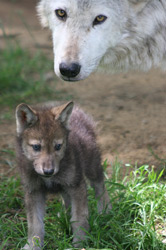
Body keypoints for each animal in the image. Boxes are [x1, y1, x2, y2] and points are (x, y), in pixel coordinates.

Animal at [15, 101, 110, 248]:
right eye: (36, 147)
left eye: (58, 146)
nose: (49, 171)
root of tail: (77, 111)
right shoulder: (33, 191)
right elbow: (35, 224)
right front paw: (32, 245)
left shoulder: (76, 185)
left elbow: (78, 219)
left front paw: (79, 244)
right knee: (67, 200)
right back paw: (63, 216)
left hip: (92, 166)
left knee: (100, 185)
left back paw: (105, 211)